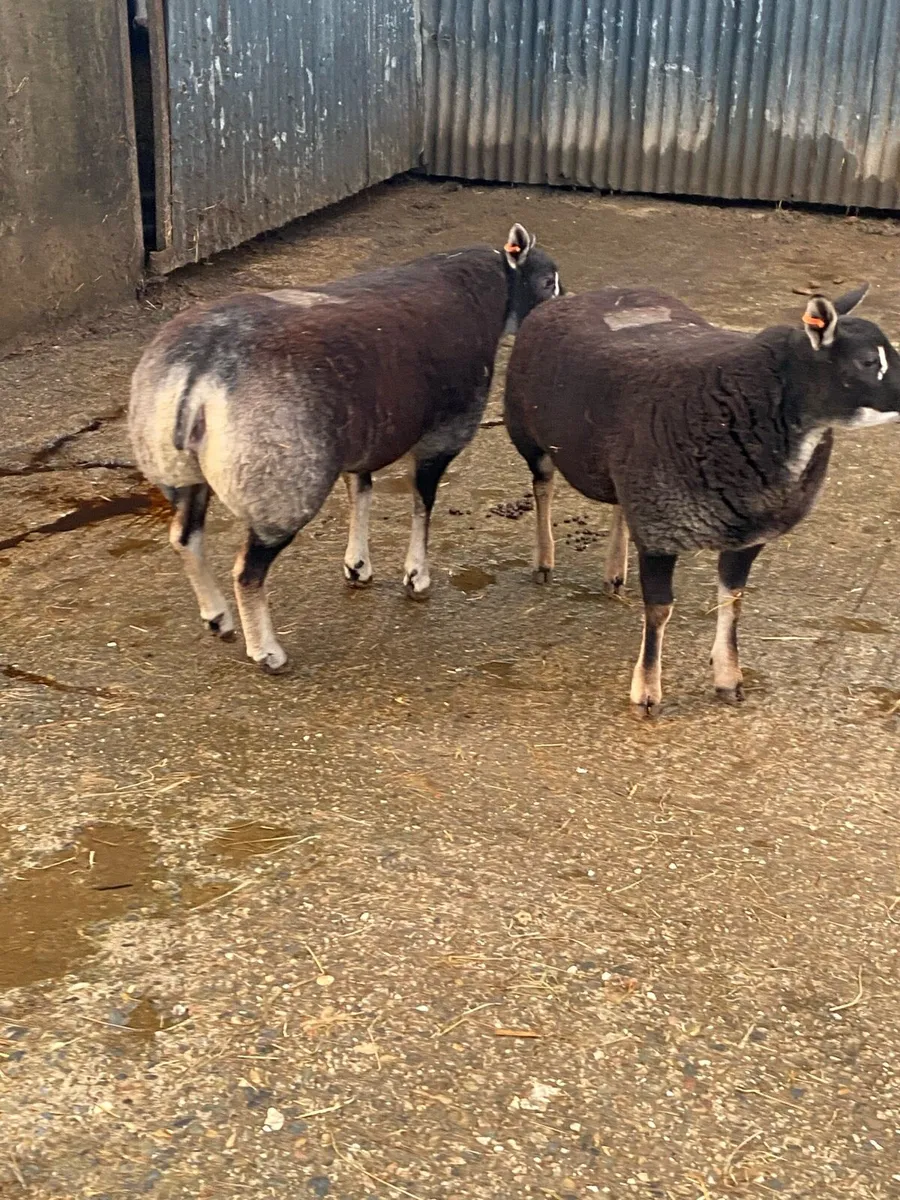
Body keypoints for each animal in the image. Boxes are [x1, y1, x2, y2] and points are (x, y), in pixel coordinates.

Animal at [129, 224, 561, 672]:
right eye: (548, 282)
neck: (490, 296)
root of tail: (200, 370)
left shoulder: (363, 436)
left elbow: (361, 492)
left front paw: (358, 566)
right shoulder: (445, 432)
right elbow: (422, 504)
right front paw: (416, 576)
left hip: (181, 471)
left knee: (186, 538)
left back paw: (218, 619)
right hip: (280, 487)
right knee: (247, 572)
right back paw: (266, 650)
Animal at [503, 284, 900, 714]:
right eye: (867, 361)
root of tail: (584, 294)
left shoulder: (744, 531)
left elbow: (733, 601)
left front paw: (728, 678)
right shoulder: (662, 526)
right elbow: (660, 610)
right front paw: (647, 691)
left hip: (625, 466)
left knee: (618, 506)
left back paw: (614, 572)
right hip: (529, 433)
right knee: (543, 487)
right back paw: (544, 560)